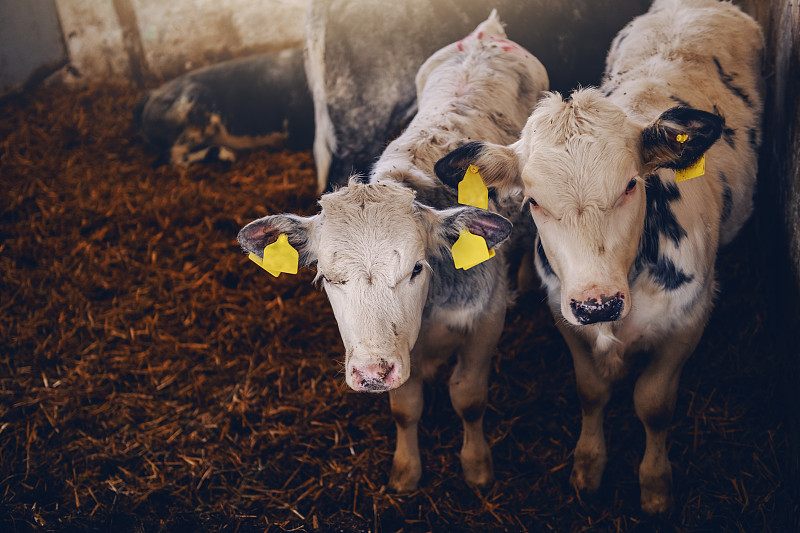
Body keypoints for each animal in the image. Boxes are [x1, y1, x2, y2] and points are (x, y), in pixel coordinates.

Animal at [434, 0, 764, 516]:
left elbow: (654, 404)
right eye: (533, 201)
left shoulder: (689, 320)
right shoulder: (565, 316)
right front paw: (588, 468)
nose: (598, 304)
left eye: (631, 184)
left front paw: (655, 484)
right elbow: (591, 393)